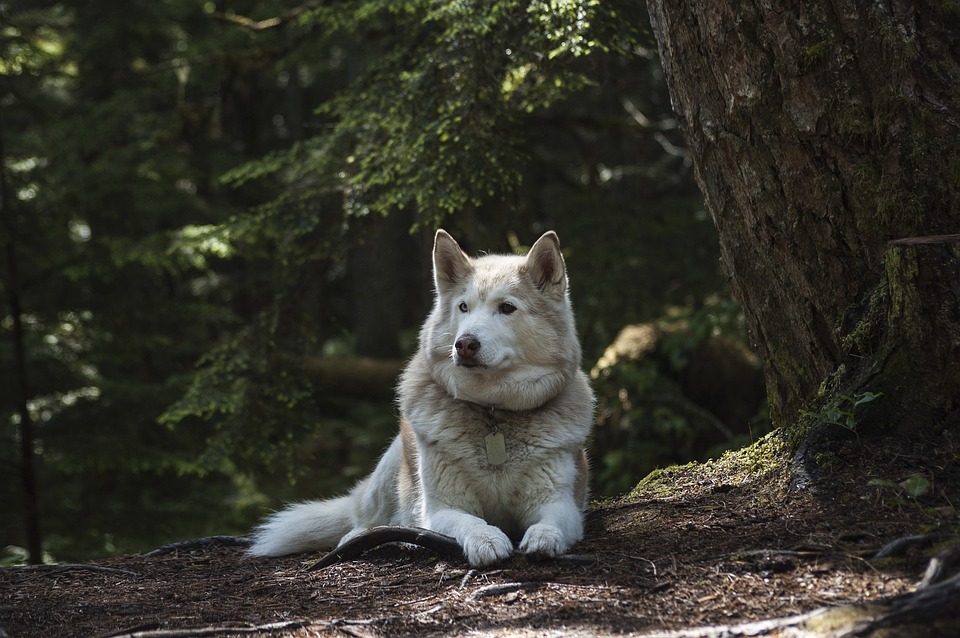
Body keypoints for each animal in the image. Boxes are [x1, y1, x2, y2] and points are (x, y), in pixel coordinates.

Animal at [248, 230, 592, 568]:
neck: (492, 412)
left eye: (507, 308)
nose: (464, 344)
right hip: (392, 466)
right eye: (463, 307)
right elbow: (470, 522)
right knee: (366, 519)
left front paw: (545, 537)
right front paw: (486, 539)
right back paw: (365, 537)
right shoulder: (440, 509)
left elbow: (551, 522)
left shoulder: (560, 503)